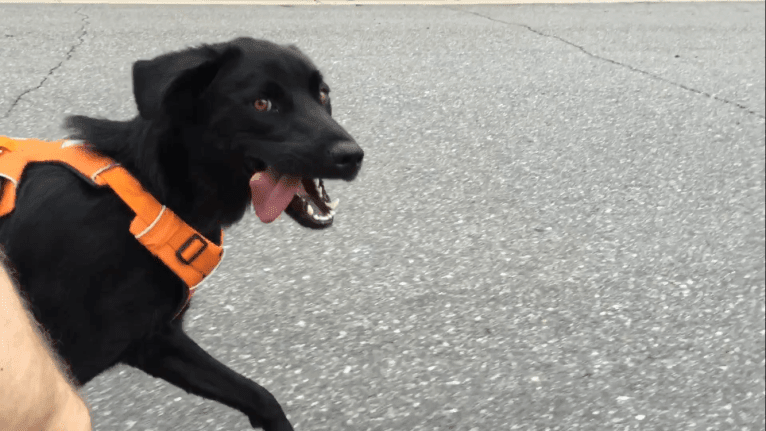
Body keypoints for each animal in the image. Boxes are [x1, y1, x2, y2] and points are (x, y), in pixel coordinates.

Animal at [0, 38, 364, 431]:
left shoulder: (155, 341)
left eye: (322, 93)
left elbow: (260, 397)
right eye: (262, 104)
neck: (150, 193)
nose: (353, 156)